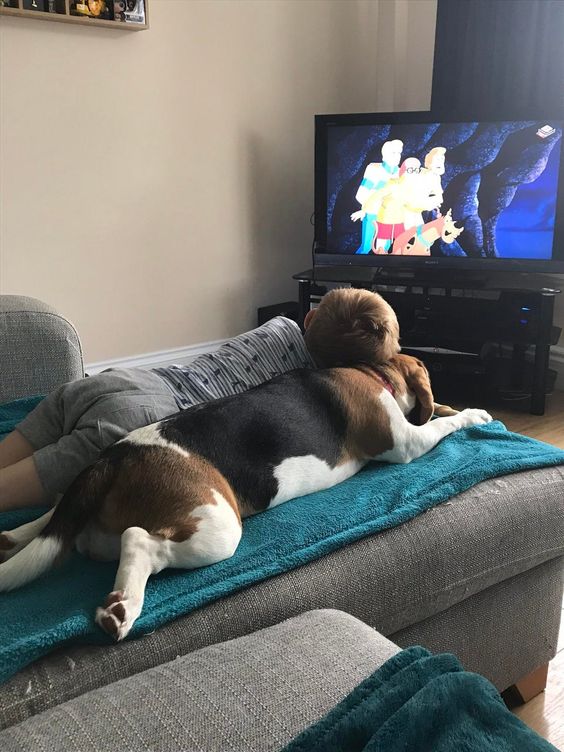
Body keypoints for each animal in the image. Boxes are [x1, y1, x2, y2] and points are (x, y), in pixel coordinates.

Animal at [0, 352, 490, 640]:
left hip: (87, 527)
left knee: (49, 519)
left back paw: (13, 537)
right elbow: (444, 424)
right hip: (218, 528)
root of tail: (114, 458)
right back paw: (122, 609)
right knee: (138, 540)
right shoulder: (405, 443)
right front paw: (475, 413)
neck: (373, 373)